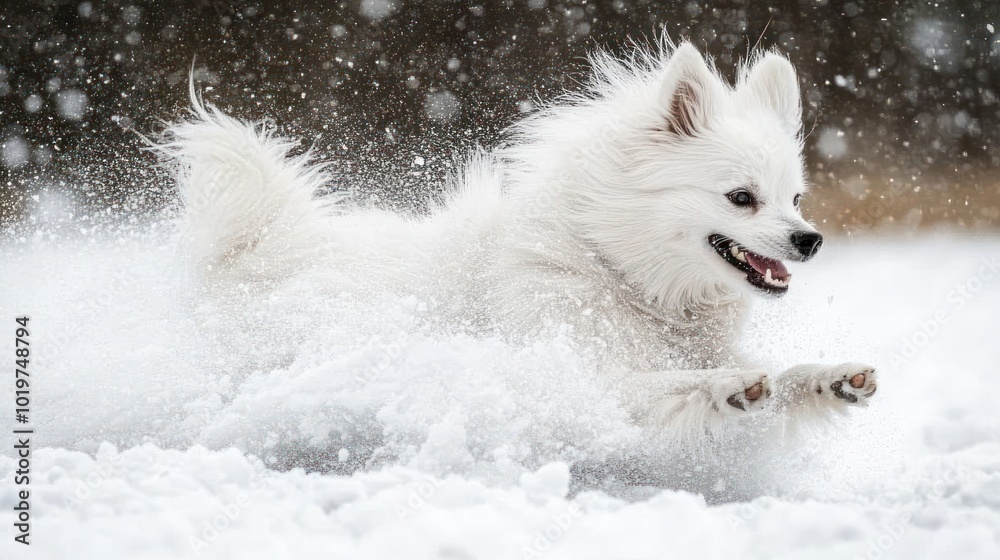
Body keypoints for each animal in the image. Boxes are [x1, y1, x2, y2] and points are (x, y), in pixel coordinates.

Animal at [164, 39, 876, 442]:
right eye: (741, 198)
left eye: (796, 199)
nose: (810, 240)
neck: (623, 274)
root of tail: (261, 245)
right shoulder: (574, 376)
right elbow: (664, 384)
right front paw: (727, 384)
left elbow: (786, 374)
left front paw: (827, 378)